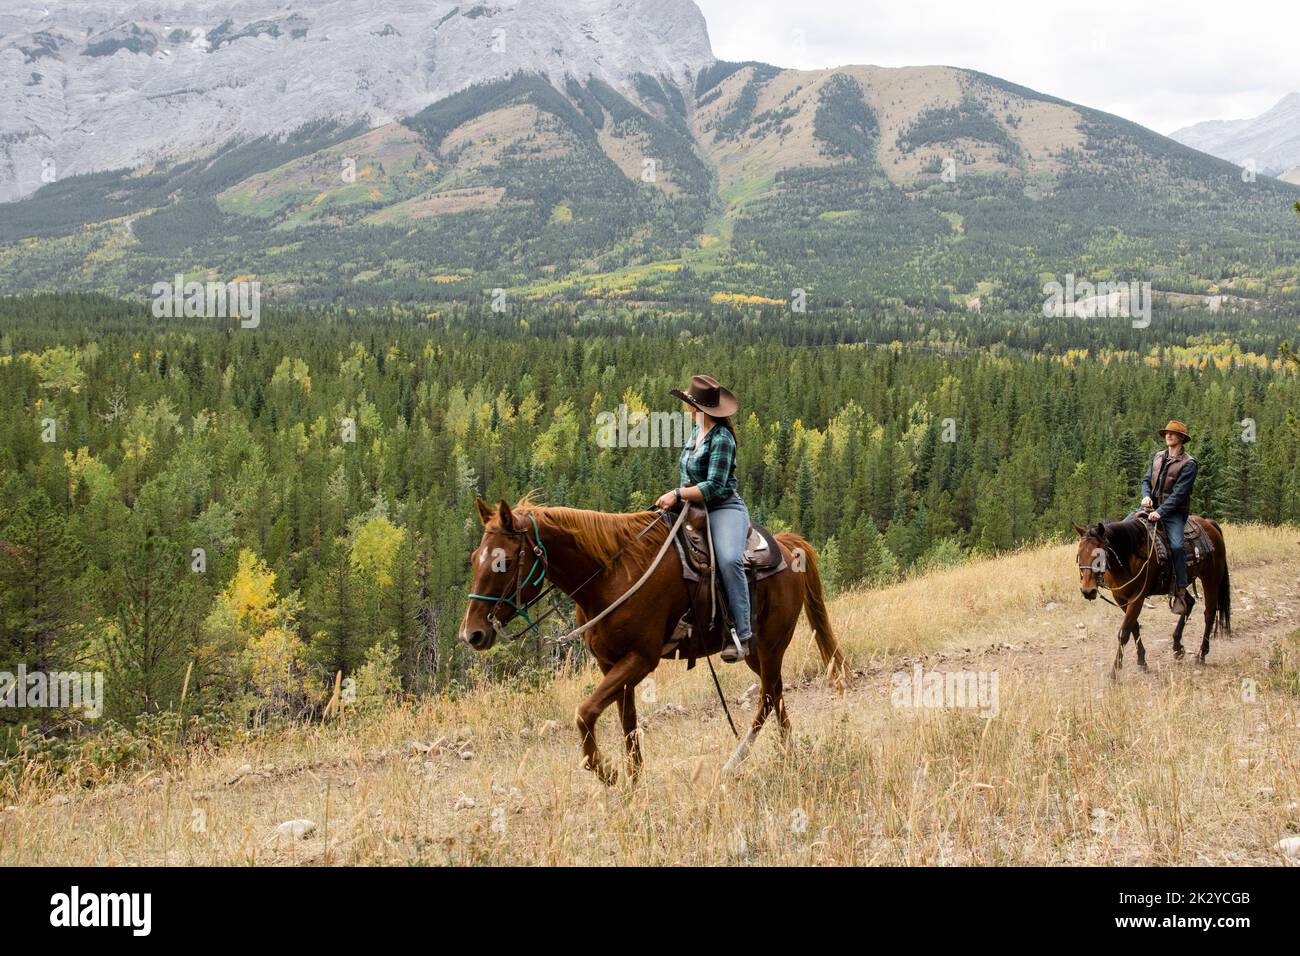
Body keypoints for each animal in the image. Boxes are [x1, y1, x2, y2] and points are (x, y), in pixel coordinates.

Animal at [461, 495, 849, 784]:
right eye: (475, 557)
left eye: (503, 561)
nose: (472, 633)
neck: (611, 575)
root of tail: (787, 545)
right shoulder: (611, 664)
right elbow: (628, 724)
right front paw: (634, 784)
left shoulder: (641, 659)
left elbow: (585, 713)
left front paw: (608, 773)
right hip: (757, 653)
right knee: (776, 694)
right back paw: (788, 753)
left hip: (770, 645)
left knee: (767, 698)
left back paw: (735, 761)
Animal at [1072, 516, 1230, 675]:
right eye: (1079, 554)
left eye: (1100, 555)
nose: (1087, 591)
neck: (1128, 556)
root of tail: (1209, 523)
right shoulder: (1121, 598)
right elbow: (1134, 627)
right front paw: (1142, 662)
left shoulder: (1137, 598)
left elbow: (1124, 632)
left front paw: (1115, 672)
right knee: (1190, 603)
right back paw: (1177, 647)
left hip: (1211, 578)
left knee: (1209, 613)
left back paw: (1201, 654)